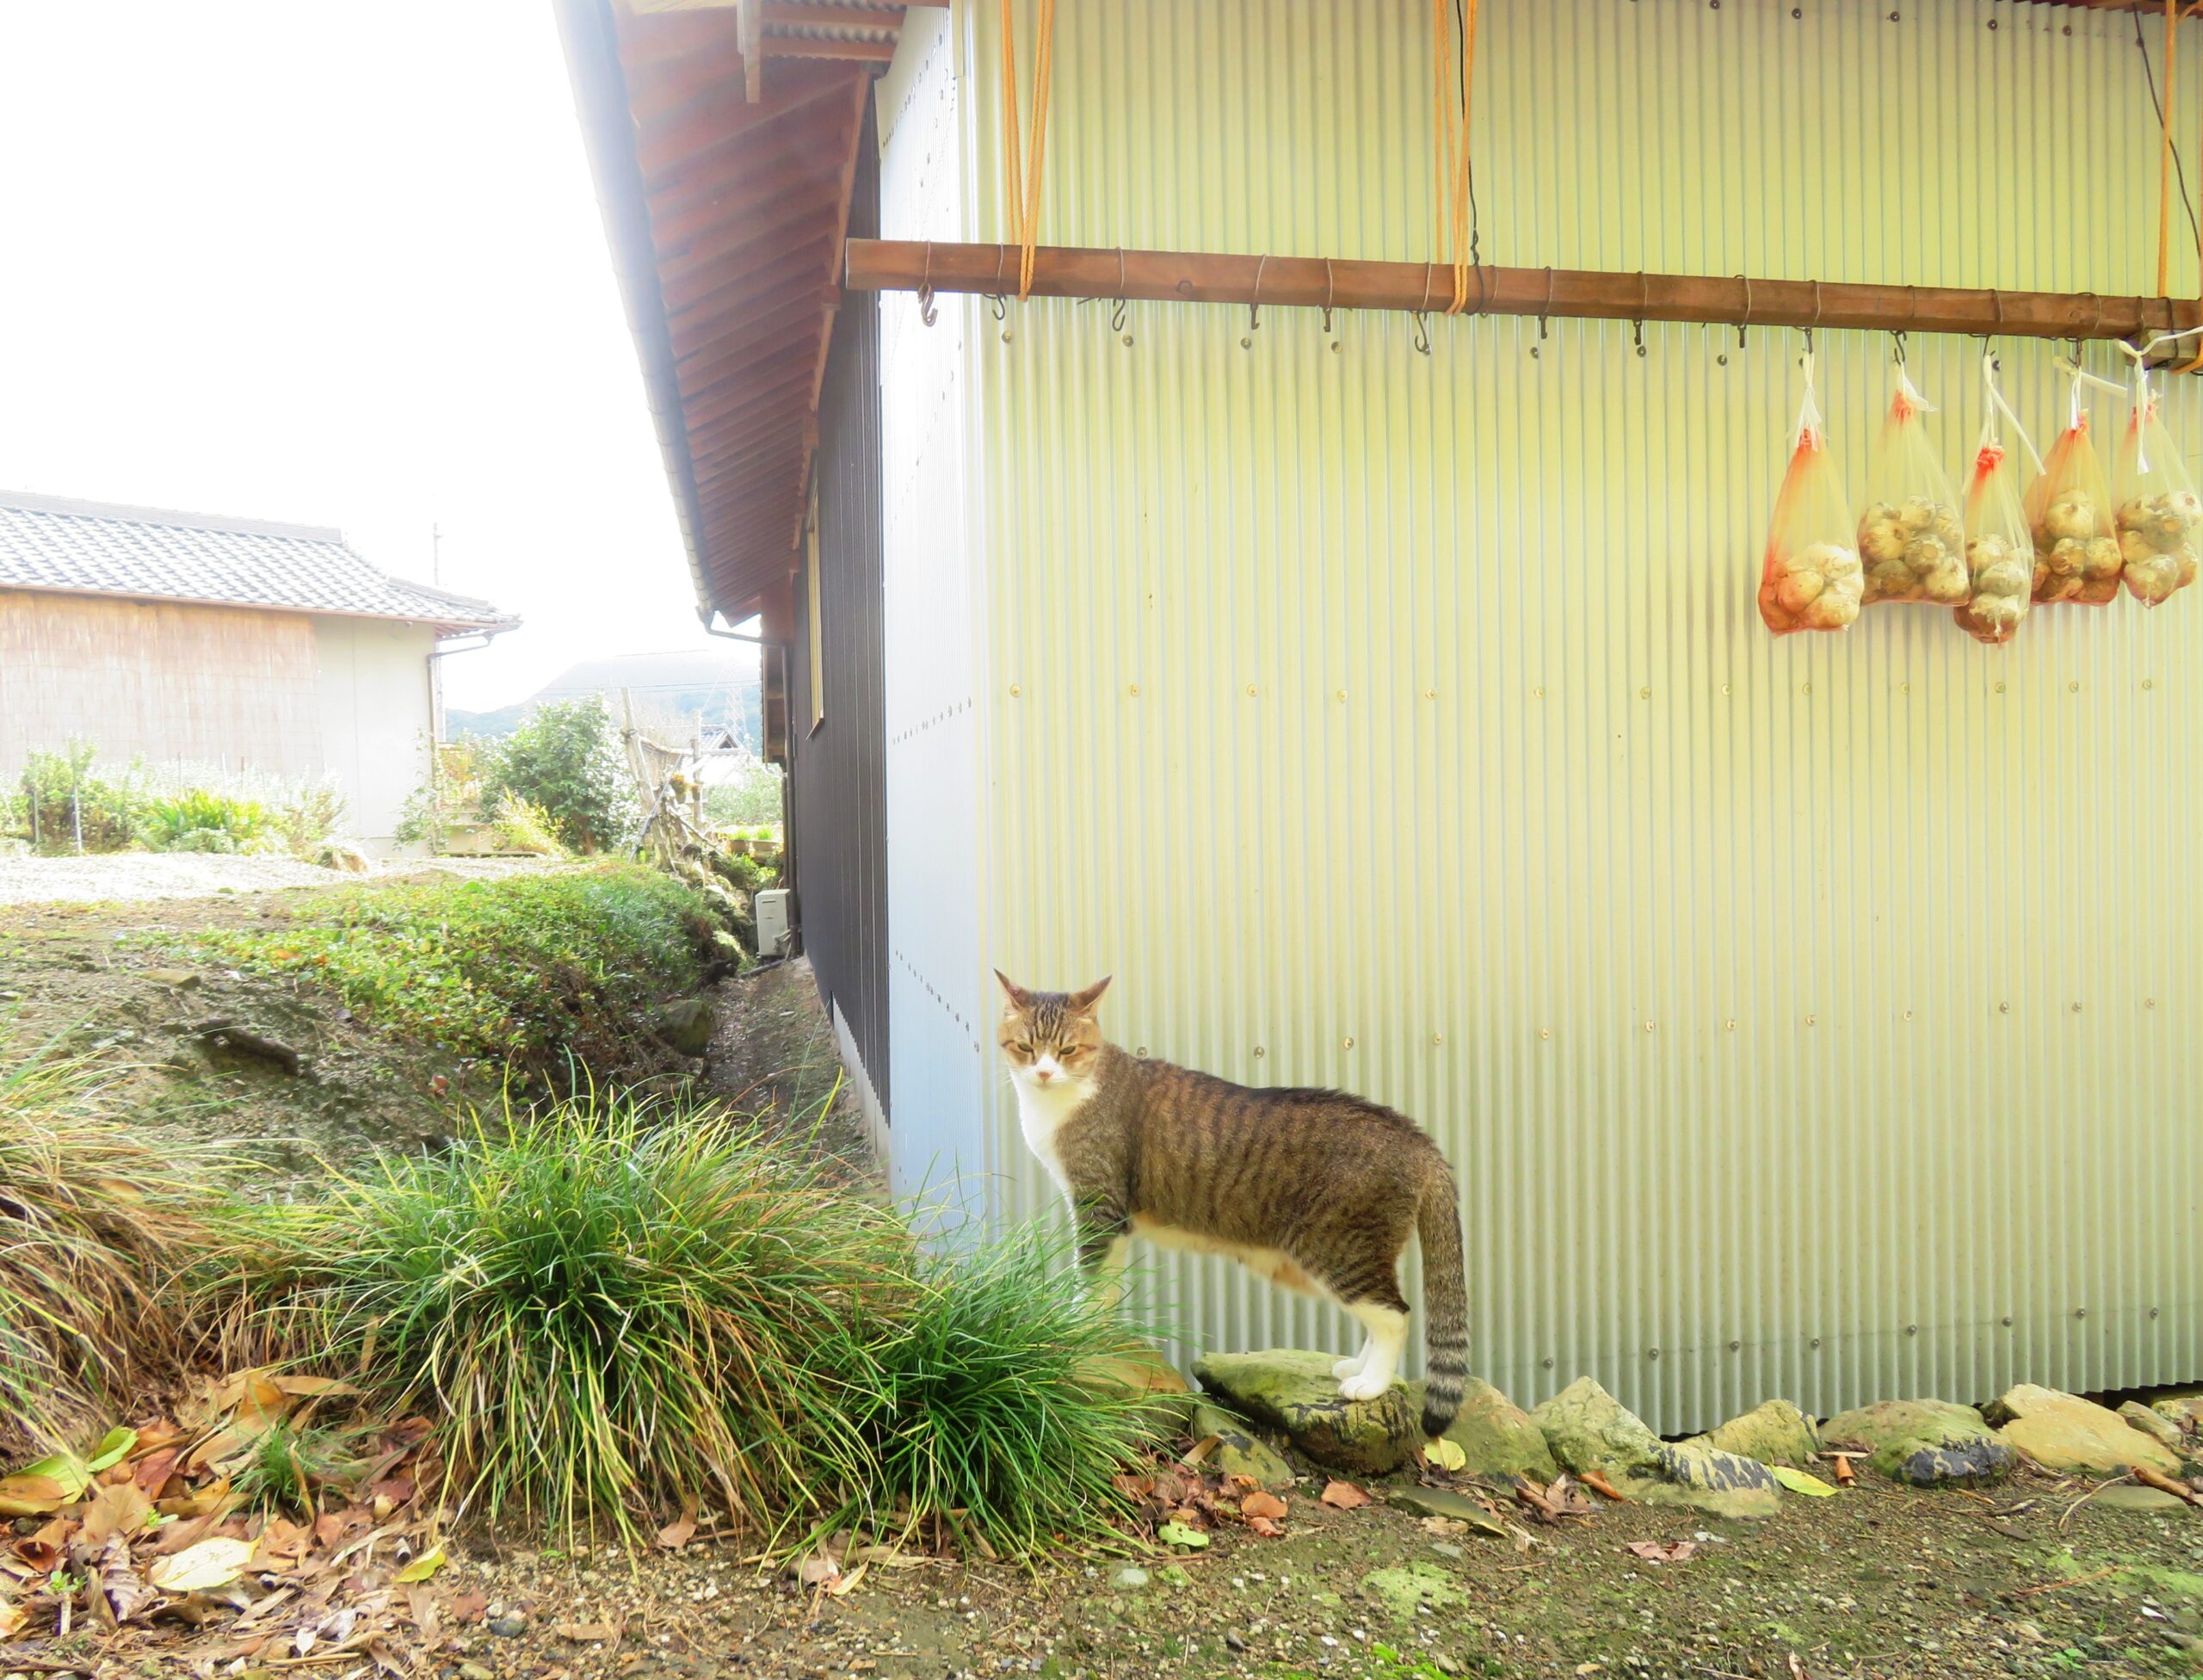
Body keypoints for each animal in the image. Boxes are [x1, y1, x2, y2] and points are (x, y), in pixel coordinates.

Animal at [996, 970, 1462, 1428]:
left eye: (1067, 1050)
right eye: (1025, 1047)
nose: (1043, 1073)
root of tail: (1416, 1138)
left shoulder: (1100, 1206)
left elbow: (1089, 1277)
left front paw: (1076, 1328)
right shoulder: (1113, 1218)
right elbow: (1106, 1283)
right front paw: (1096, 1330)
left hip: (1338, 1249)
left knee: (1395, 1314)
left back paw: (1371, 1383)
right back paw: (1358, 1367)